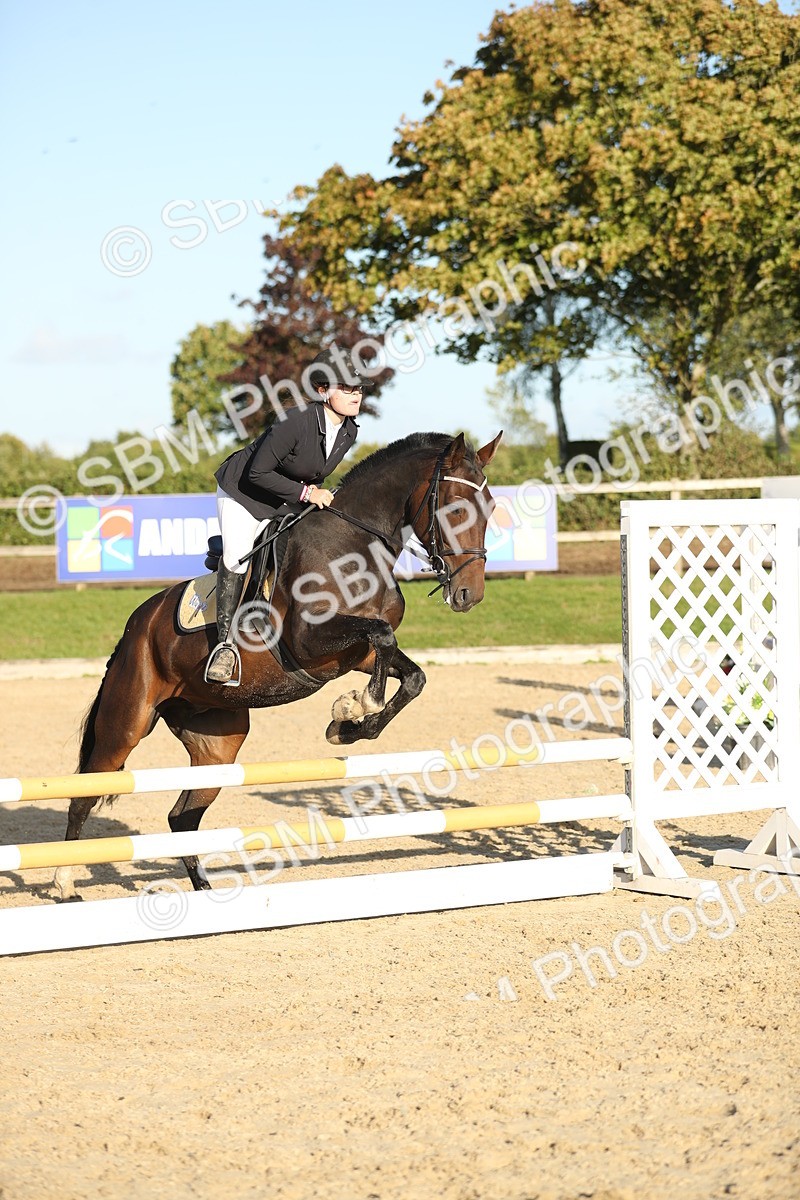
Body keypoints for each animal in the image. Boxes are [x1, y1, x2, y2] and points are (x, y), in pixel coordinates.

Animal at [55, 430, 502, 900]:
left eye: (491, 507)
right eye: (454, 508)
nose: (470, 594)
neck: (355, 549)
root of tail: (134, 627)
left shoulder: (355, 655)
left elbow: (412, 674)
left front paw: (347, 725)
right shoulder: (309, 641)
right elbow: (383, 635)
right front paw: (355, 705)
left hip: (218, 743)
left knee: (183, 816)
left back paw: (203, 888)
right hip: (127, 723)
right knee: (85, 793)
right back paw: (65, 882)